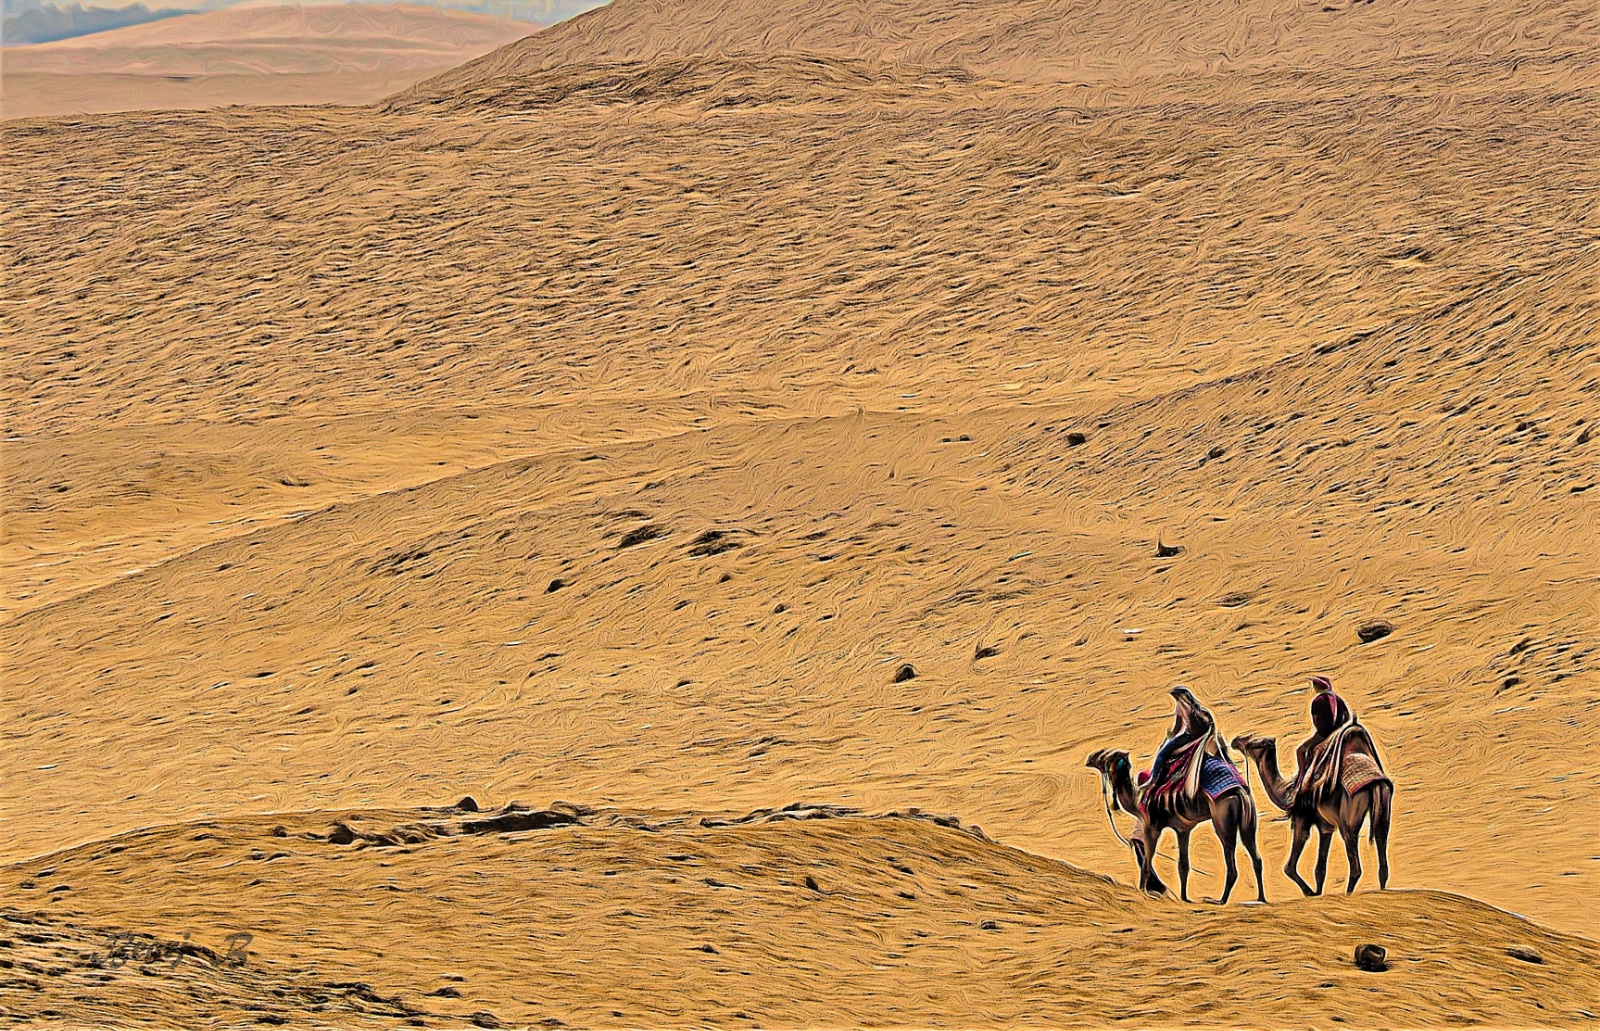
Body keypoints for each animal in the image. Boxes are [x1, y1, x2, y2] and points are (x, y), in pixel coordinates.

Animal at [1085, 747, 1266, 905]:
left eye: (1105, 755)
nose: (1090, 758)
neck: (1137, 800)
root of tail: (1240, 792)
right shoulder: (1182, 829)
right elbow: (1183, 866)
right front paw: (1184, 898)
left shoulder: (1151, 826)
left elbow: (1146, 864)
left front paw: (1142, 891)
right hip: (1249, 816)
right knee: (1256, 857)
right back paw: (1261, 898)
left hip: (1223, 817)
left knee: (1231, 861)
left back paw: (1219, 900)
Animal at [1229, 733, 1392, 895]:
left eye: (1253, 743)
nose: (1236, 740)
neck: (1287, 791)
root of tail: (1374, 783)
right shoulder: (1326, 826)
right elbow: (1320, 870)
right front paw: (1317, 893)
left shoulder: (1302, 819)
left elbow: (1289, 867)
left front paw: (1309, 892)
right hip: (1384, 805)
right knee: (1381, 845)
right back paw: (1381, 889)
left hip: (1348, 819)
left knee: (1355, 863)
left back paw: (1349, 893)